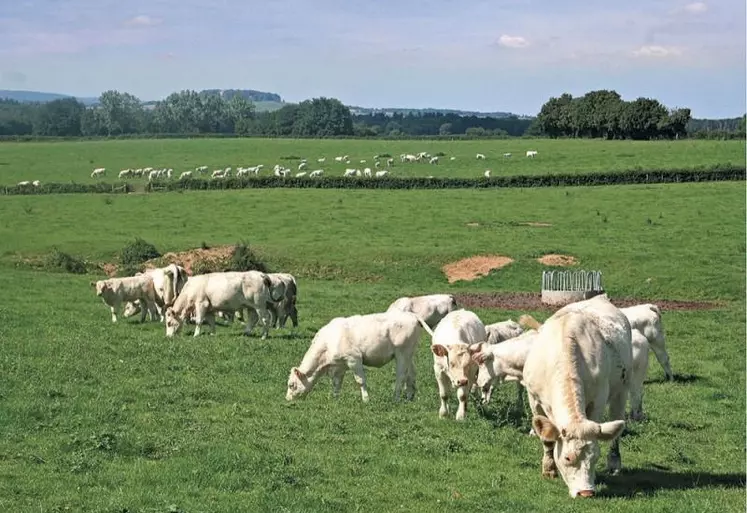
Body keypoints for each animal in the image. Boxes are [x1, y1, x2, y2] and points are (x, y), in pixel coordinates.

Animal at [284, 310, 426, 402]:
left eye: (292, 385)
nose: (288, 399)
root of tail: (411, 315)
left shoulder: (354, 360)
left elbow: (360, 381)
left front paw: (366, 399)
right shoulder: (339, 366)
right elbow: (336, 383)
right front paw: (335, 398)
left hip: (402, 354)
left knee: (401, 376)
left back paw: (395, 398)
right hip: (409, 355)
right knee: (411, 374)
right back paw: (409, 397)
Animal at [524, 294, 636, 498]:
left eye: (595, 457)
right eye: (568, 458)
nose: (586, 493)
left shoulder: (598, 400)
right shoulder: (534, 399)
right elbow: (546, 439)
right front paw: (549, 469)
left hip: (621, 390)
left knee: (616, 429)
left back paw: (614, 463)